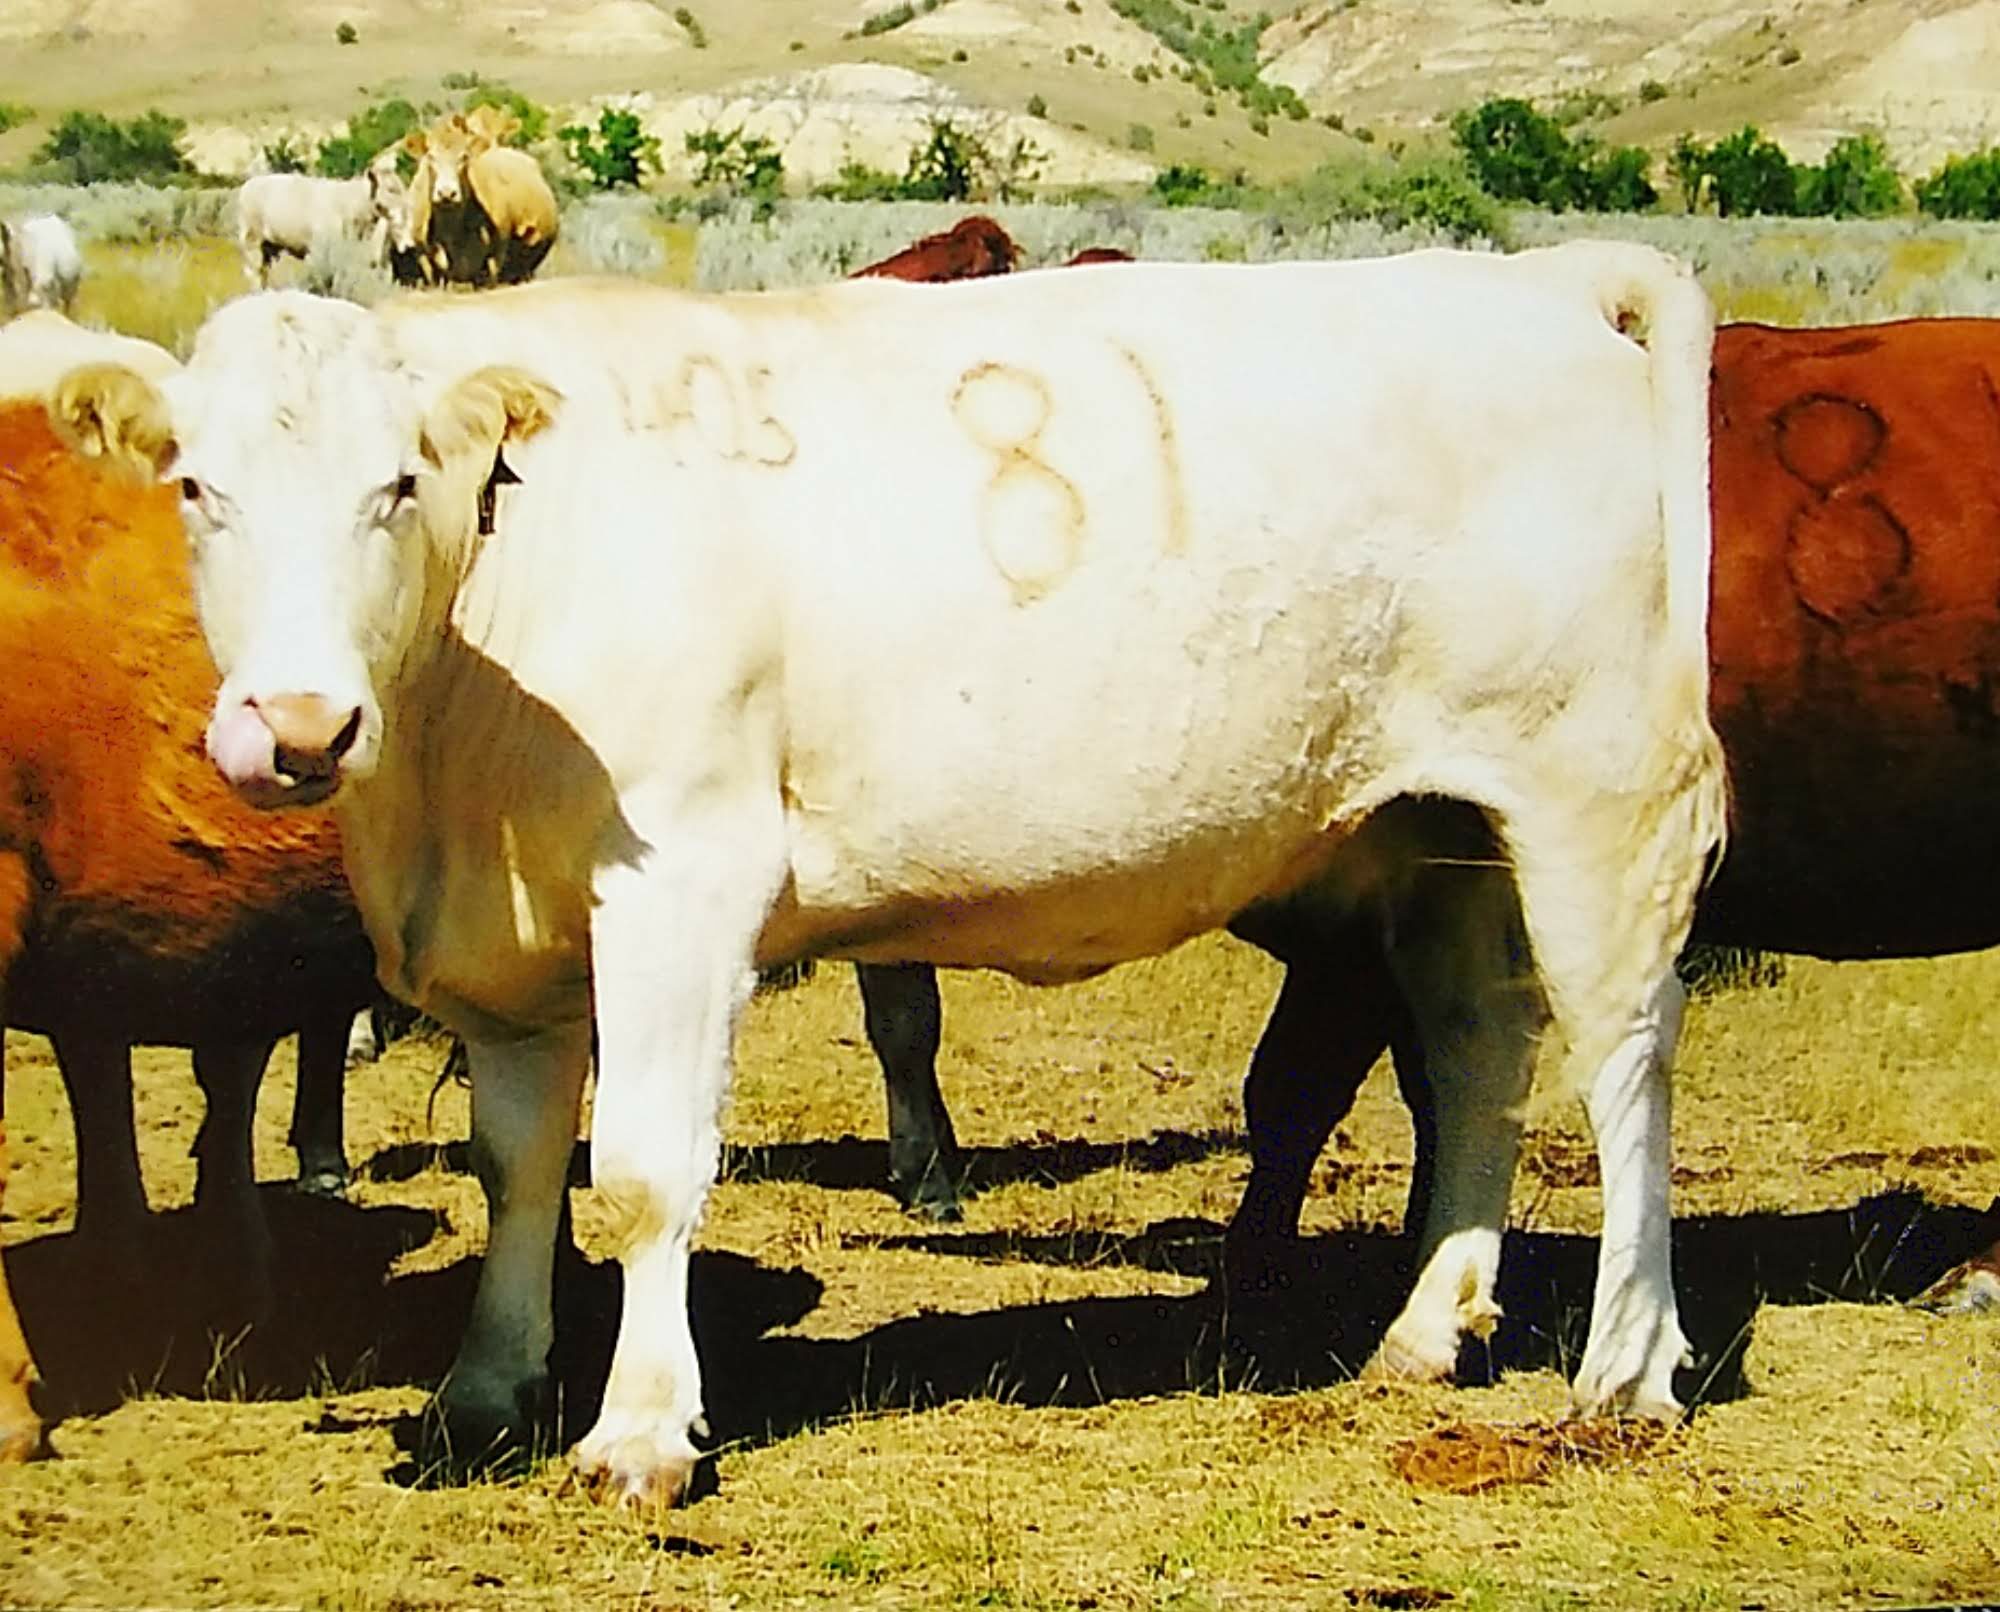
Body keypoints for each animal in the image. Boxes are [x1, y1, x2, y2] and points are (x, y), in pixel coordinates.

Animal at [54, 243, 1728, 1512]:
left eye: (400, 484)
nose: (298, 724)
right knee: (1481, 1048)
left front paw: (640, 1432)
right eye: (194, 487)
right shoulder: (510, 947)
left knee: (1626, 1065)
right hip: (1439, 826)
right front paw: (485, 1391)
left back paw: (1628, 1366)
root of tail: (1537, 275)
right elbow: (517, 1169)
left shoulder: (679, 883)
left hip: (1597, 793)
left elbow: (643, 1171)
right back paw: (1426, 1330)